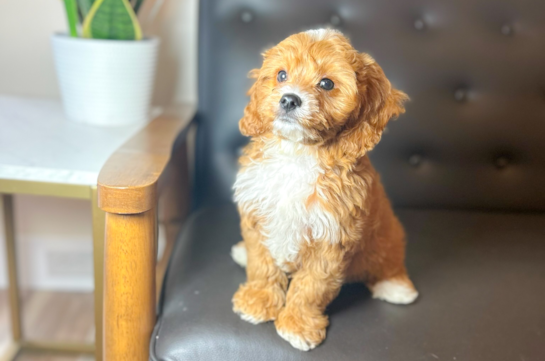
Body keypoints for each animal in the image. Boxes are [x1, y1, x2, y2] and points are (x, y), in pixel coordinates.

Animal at [230, 29, 416, 350]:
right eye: (281, 75)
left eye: (327, 83)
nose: (289, 99)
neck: (297, 152)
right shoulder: (257, 212)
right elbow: (262, 263)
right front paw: (258, 300)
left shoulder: (333, 236)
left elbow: (312, 285)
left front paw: (298, 324)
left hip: (387, 234)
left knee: (389, 256)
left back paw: (396, 286)